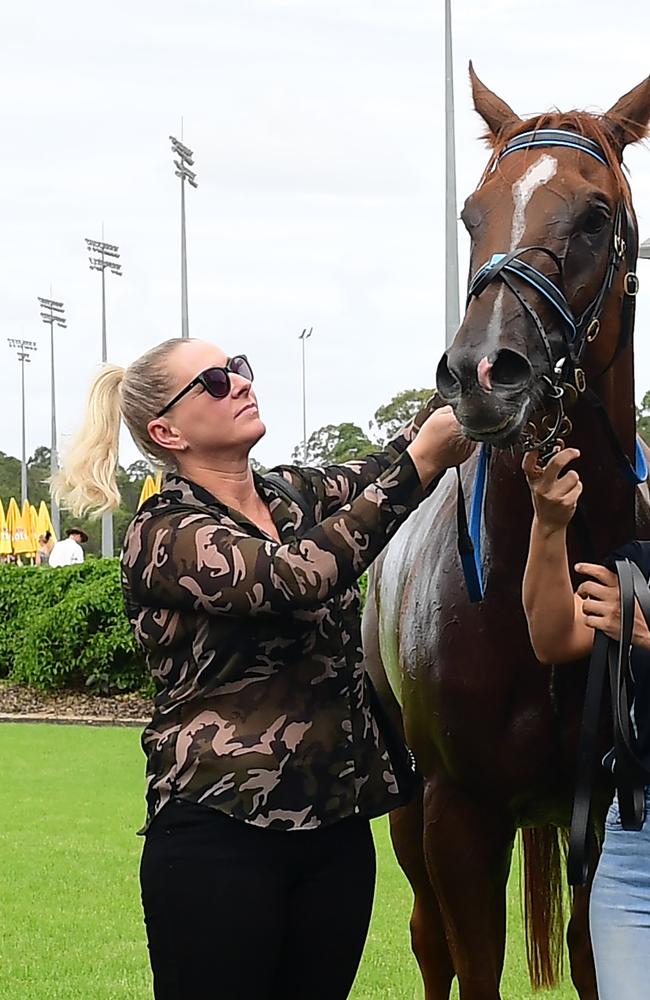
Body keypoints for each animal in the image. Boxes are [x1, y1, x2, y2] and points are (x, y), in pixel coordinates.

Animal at [362, 66, 648, 996]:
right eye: (470, 214)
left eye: (596, 213)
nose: (482, 372)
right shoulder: (458, 814)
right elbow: (469, 962)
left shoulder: (602, 808)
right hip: (409, 809)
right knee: (429, 942)